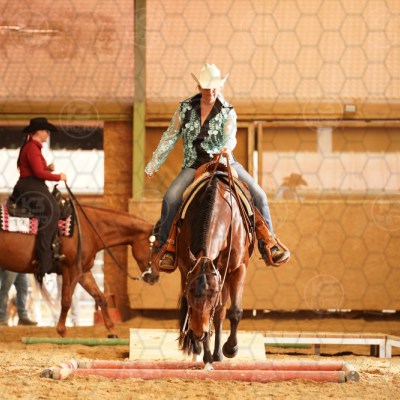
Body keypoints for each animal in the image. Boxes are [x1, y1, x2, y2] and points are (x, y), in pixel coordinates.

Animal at [0, 204, 158, 337]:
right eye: (157, 246)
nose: (155, 277)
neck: (88, 229)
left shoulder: (83, 272)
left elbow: (101, 297)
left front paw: (112, 329)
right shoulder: (71, 271)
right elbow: (66, 301)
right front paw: (62, 331)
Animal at [177, 169, 253, 367]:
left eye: (213, 293)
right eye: (189, 291)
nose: (198, 333)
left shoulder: (238, 269)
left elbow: (235, 311)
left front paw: (230, 349)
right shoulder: (185, 268)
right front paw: (203, 351)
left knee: (220, 312)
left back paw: (218, 354)